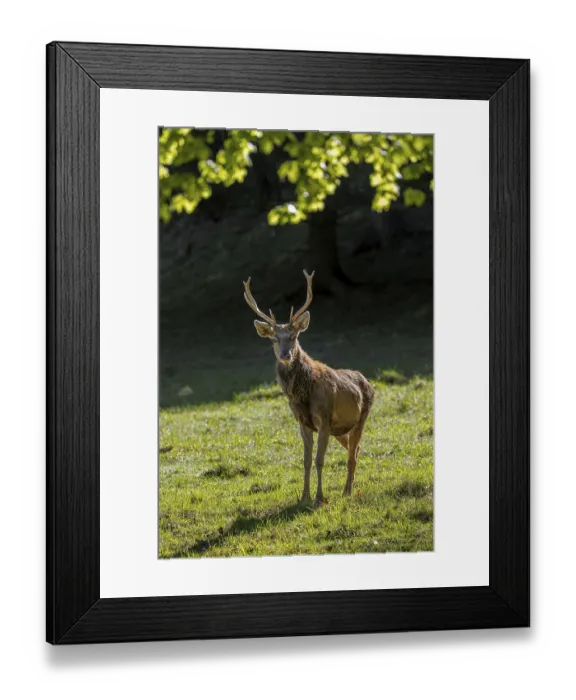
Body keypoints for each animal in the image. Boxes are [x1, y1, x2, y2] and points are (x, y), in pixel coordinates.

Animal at [243, 270, 375, 506]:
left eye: (294, 336)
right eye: (274, 339)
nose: (286, 354)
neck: (303, 396)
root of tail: (368, 383)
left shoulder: (324, 418)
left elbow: (319, 460)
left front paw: (319, 498)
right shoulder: (302, 422)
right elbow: (305, 460)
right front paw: (304, 496)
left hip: (361, 417)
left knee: (352, 454)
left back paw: (347, 491)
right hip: (341, 430)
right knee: (355, 449)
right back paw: (349, 486)